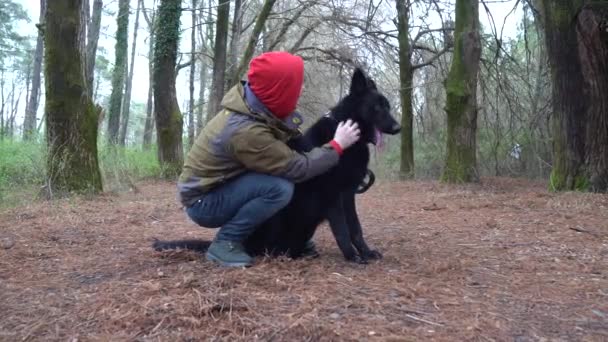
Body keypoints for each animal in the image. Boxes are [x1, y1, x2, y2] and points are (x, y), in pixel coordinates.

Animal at [152, 68, 400, 264]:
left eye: (387, 106)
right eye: (377, 108)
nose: (398, 128)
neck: (347, 131)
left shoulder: (348, 194)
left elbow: (356, 229)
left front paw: (366, 253)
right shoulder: (334, 197)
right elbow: (342, 231)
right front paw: (352, 256)